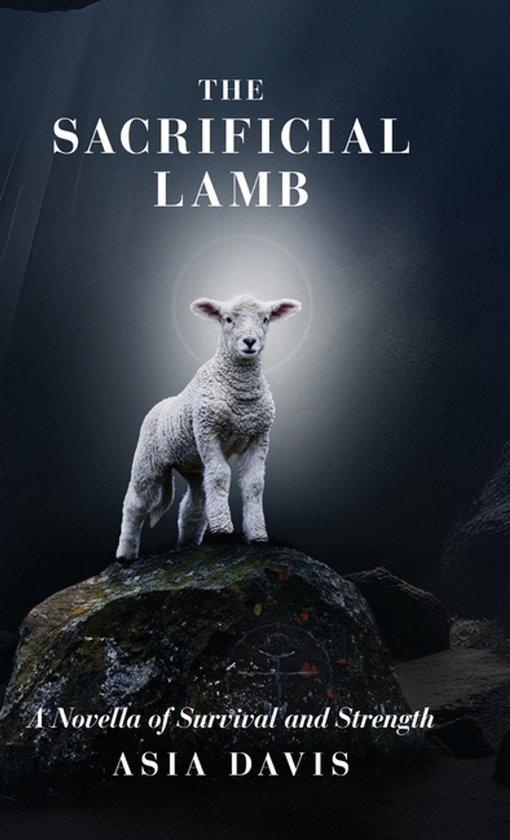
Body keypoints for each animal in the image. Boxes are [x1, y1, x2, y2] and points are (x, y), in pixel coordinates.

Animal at [116, 294, 302, 561]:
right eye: (228, 319)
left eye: (265, 319)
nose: (249, 342)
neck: (240, 392)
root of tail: (160, 404)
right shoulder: (207, 431)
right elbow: (221, 477)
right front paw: (223, 528)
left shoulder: (259, 436)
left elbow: (254, 484)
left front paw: (257, 534)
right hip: (148, 460)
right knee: (136, 503)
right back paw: (125, 554)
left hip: (193, 465)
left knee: (193, 504)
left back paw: (187, 546)